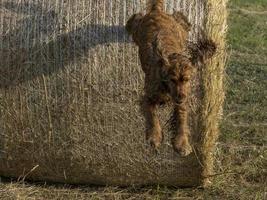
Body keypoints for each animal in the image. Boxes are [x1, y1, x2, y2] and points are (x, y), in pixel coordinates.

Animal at [126, 0, 217, 156]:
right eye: (172, 80)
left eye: (187, 79)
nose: (180, 97)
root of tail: (156, 11)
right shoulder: (148, 97)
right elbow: (152, 115)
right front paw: (154, 136)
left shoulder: (182, 100)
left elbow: (182, 117)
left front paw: (182, 142)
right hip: (137, 30)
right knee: (135, 19)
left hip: (180, 30)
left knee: (180, 18)